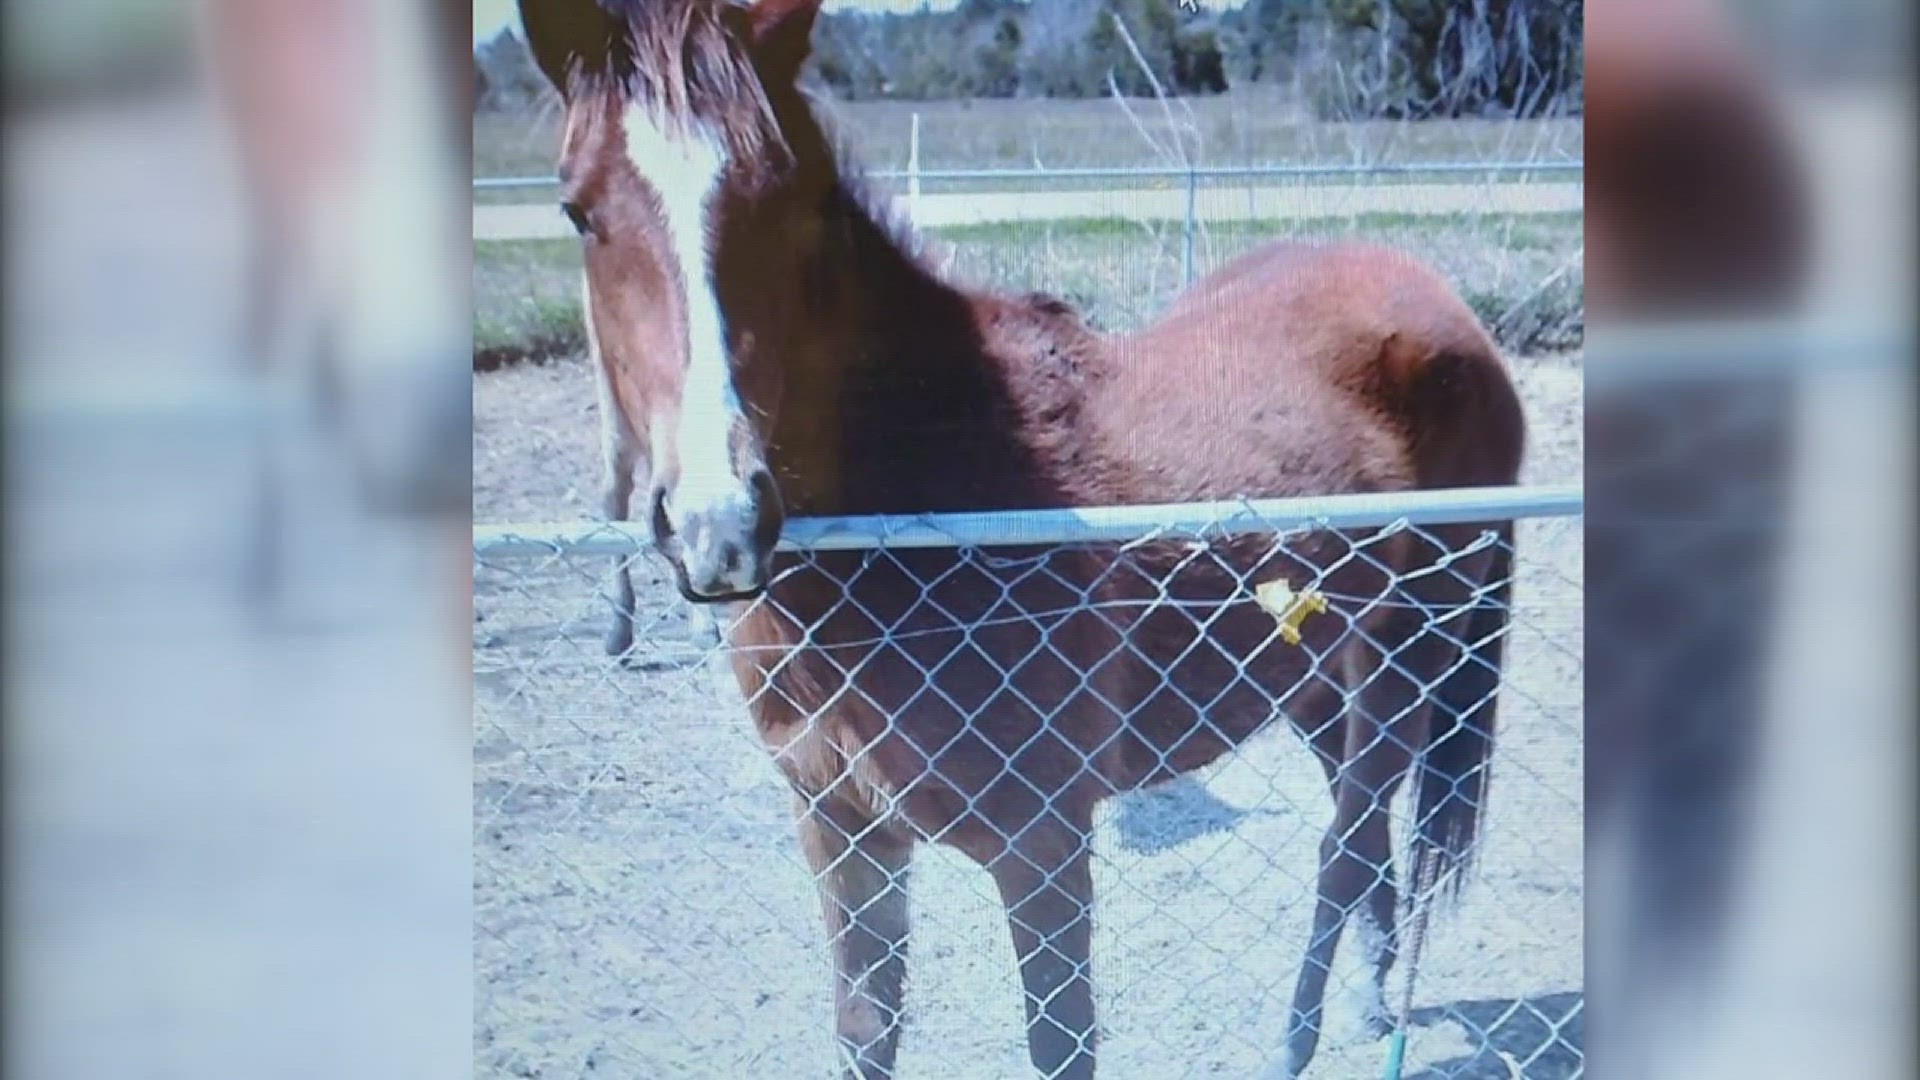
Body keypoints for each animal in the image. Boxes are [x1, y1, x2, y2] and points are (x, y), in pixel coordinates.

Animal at [518, 4, 1520, 1068]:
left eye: (787, 201)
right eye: (579, 210)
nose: (721, 525)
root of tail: (1444, 307)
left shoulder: (1043, 845)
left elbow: (1059, 1042)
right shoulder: (842, 830)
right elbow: (866, 1031)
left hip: (1411, 660)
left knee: (1350, 833)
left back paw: (1298, 1040)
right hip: (1321, 671)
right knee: (1359, 831)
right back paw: (1369, 1002)